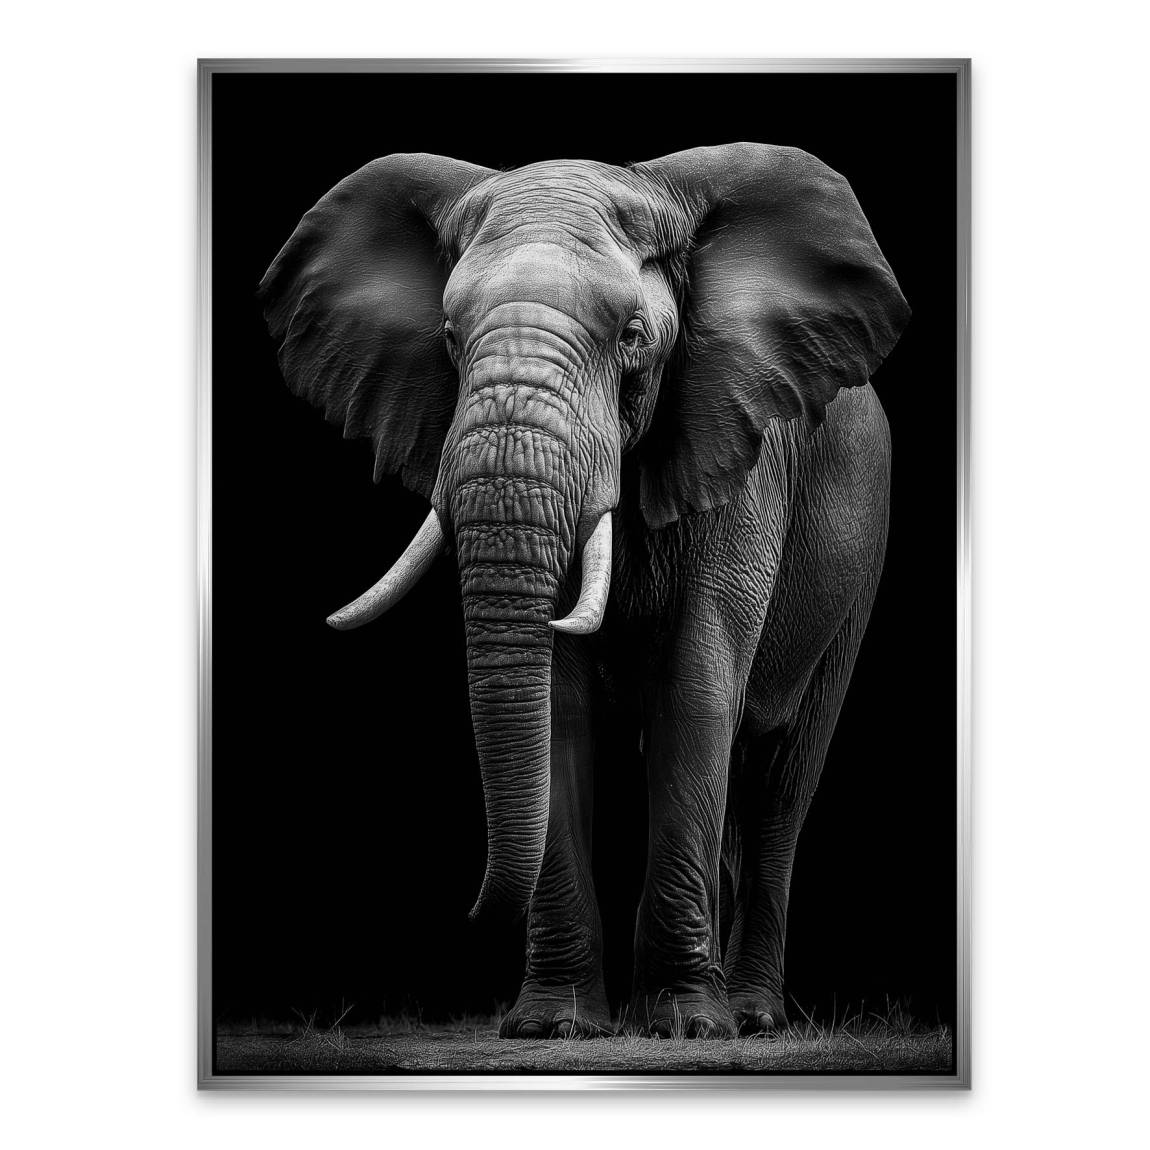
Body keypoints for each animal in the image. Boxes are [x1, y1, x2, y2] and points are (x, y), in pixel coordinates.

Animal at [259, 143, 909, 1039]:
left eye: (632, 337)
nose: (463, 913)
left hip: (860, 550)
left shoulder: (736, 452)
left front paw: (686, 1027)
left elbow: (697, 687)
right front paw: (553, 1025)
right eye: (450, 338)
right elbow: (558, 706)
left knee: (781, 777)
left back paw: (749, 1015)